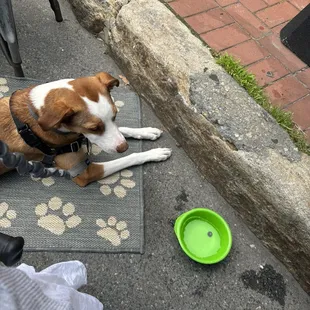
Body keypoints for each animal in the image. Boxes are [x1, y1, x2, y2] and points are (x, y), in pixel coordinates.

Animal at [0, 72, 172, 186]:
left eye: (115, 115)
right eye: (94, 128)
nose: (124, 147)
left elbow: (122, 129)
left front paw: (146, 131)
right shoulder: (84, 173)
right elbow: (130, 157)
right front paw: (154, 153)